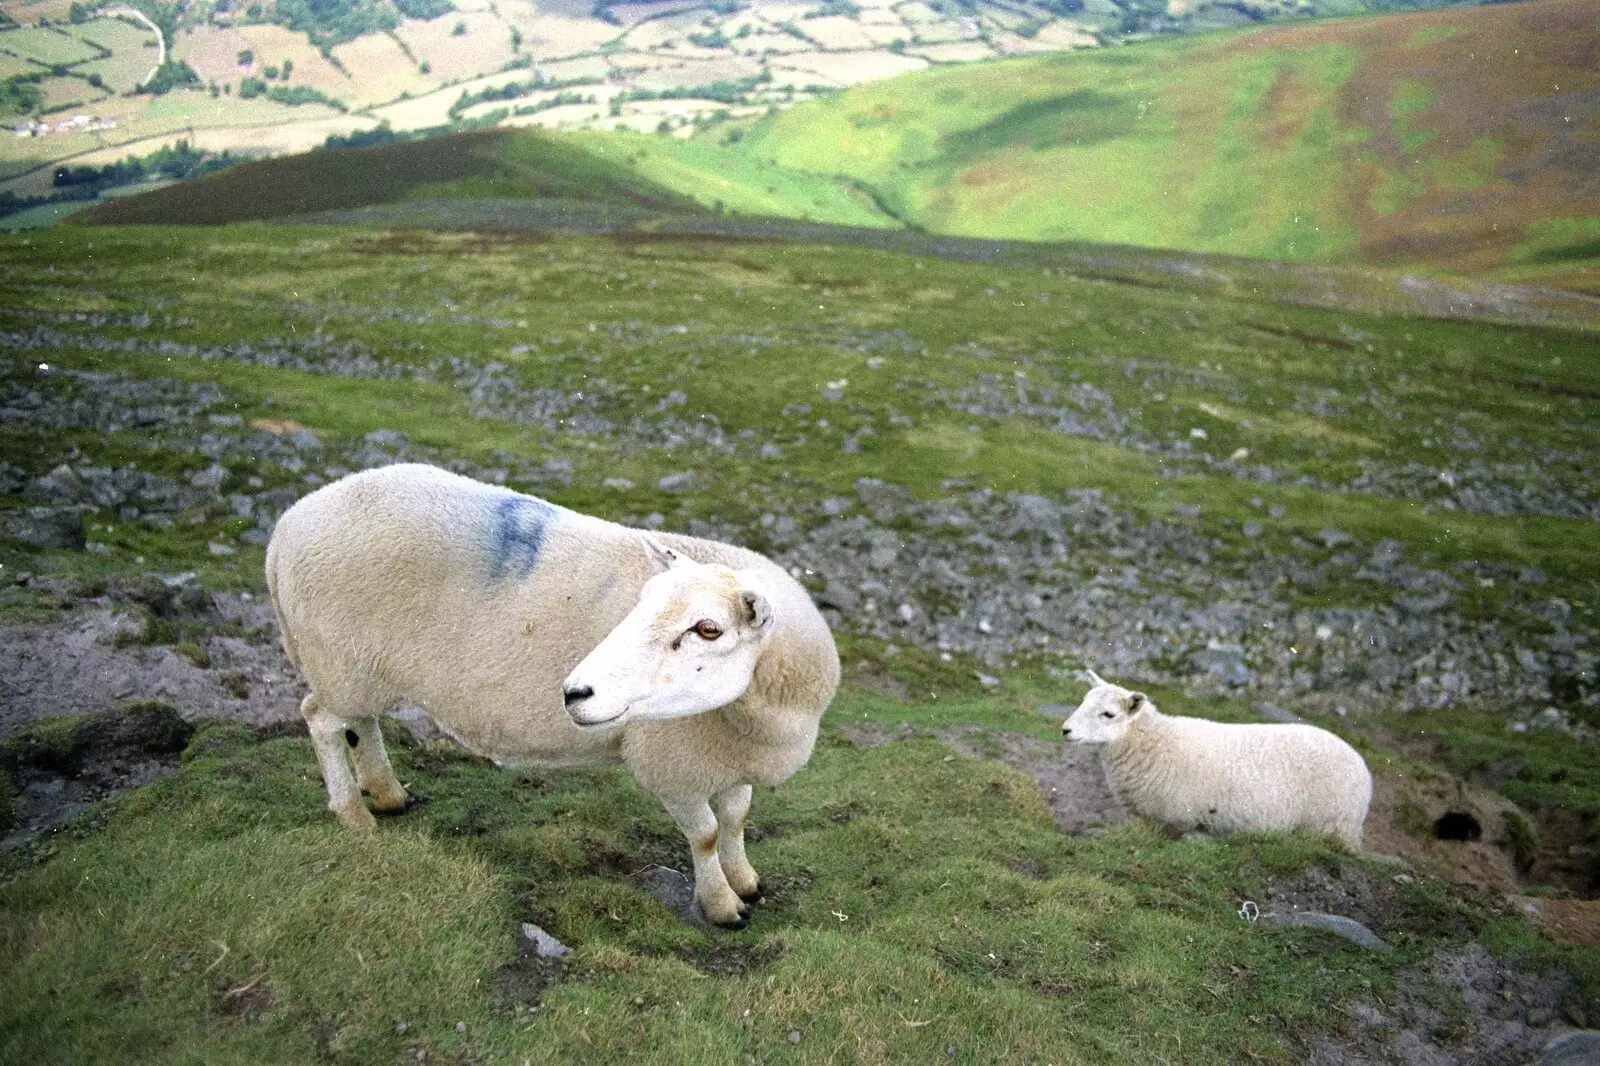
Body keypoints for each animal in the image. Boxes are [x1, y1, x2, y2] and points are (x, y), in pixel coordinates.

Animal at [265, 460, 838, 928]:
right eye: (642, 602)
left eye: (709, 629)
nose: (575, 691)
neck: (760, 715)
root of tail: (287, 525)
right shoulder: (673, 764)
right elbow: (706, 835)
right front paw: (722, 907)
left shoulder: (730, 757)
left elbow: (737, 819)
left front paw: (748, 883)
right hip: (342, 658)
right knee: (321, 719)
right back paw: (354, 816)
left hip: (360, 665)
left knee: (360, 721)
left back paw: (387, 793)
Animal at [1062, 669, 1376, 851]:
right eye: (1083, 702)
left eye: (1109, 714)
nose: (1066, 730)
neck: (1156, 742)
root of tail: (1360, 763)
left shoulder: (1178, 818)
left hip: (1333, 824)